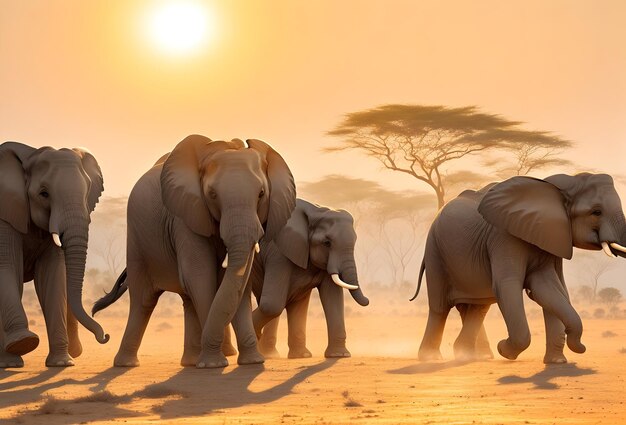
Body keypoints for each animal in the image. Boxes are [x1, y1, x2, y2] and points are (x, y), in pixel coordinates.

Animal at [0, 141, 108, 366]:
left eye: (87, 192)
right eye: (44, 194)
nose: (105, 337)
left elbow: (52, 273)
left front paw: (62, 363)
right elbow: (7, 265)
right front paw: (24, 343)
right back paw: (10, 361)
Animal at [92, 136, 294, 368]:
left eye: (261, 194)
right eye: (212, 194)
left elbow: (241, 283)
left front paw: (252, 362)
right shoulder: (185, 216)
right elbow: (200, 276)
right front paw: (214, 364)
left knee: (186, 299)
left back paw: (189, 362)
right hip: (137, 240)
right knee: (143, 300)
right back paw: (127, 364)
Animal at [247, 199, 366, 358]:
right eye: (327, 243)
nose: (368, 301)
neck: (317, 211)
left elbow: (332, 297)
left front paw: (339, 355)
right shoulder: (278, 253)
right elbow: (272, 303)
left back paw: (275, 355)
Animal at [412, 172, 624, 362]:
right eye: (596, 212)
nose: (583, 347)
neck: (552, 186)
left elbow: (547, 288)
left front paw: (557, 362)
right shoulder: (504, 237)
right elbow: (507, 285)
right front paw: (504, 350)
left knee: (477, 307)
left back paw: (470, 355)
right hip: (435, 251)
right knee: (440, 307)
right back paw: (432, 358)